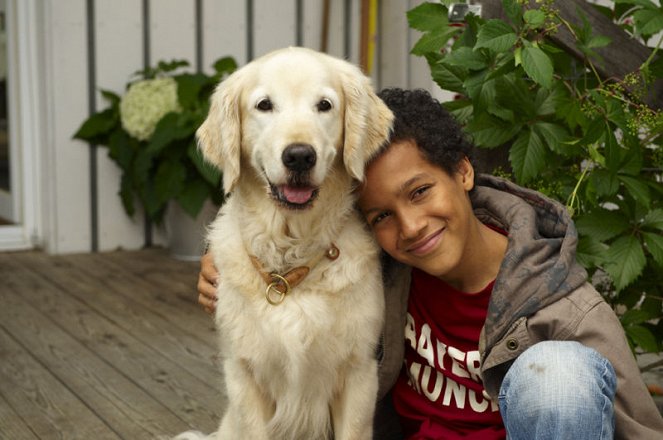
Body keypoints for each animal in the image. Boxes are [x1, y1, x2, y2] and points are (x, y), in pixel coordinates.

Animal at [178, 46, 394, 438]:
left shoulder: (359, 372)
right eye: (264, 105)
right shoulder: (243, 373)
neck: (291, 258)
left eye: (324, 105)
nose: (299, 156)